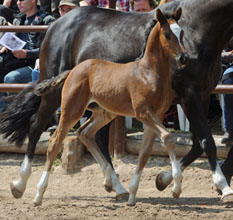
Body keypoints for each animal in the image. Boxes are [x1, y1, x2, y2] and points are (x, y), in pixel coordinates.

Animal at [33, 8, 188, 206]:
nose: (184, 58)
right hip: (71, 111)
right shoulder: (143, 113)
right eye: (167, 34)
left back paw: (111, 183)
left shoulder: (157, 116)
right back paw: (37, 194)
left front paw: (132, 195)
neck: (148, 73)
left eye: (181, 33)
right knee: (54, 142)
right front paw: (176, 187)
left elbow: (145, 152)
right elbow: (168, 138)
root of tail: (73, 70)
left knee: (84, 133)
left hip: (104, 113)